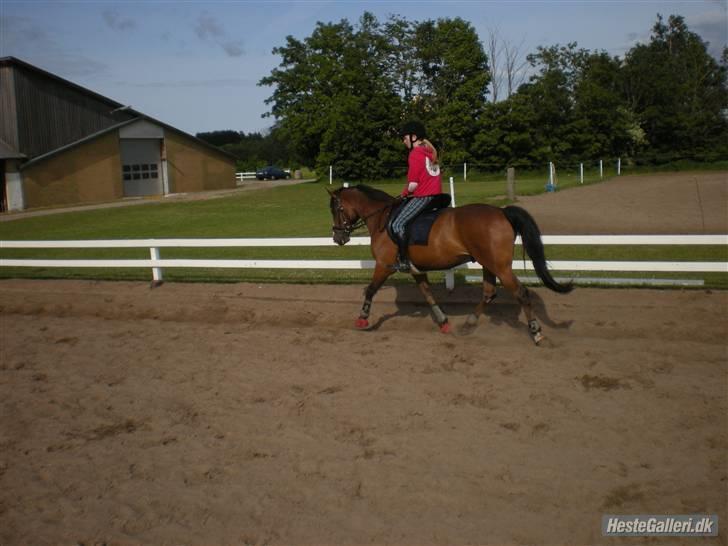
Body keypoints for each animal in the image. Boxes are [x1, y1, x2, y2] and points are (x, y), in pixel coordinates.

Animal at [328, 183, 572, 344]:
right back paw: (468, 324)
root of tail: (502, 211)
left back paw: (536, 332)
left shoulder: (383, 265)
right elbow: (428, 295)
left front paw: (362, 320)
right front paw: (444, 322)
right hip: (488, 264)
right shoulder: (416, 270)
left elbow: (370, 290)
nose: (338, 238)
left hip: (501, 267)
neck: (383, 218)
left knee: (521, 293)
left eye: (337, 209)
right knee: (489, 292)